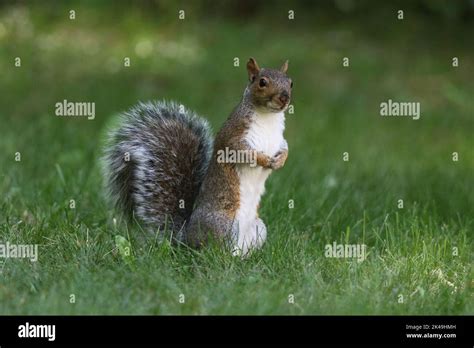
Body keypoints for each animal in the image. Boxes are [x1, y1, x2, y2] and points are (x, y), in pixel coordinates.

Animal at [103, 58, 292, 256]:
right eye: (262, 82)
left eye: (291, 82)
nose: (284, 98)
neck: (268, 118)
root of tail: (186, 237)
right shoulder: (234, 138)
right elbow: (245, 153)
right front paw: (265, 160)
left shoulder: (280, 140)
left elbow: (285, 148)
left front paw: (280, 161)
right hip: (226, 225)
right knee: (215, 252)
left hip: (258, 228)